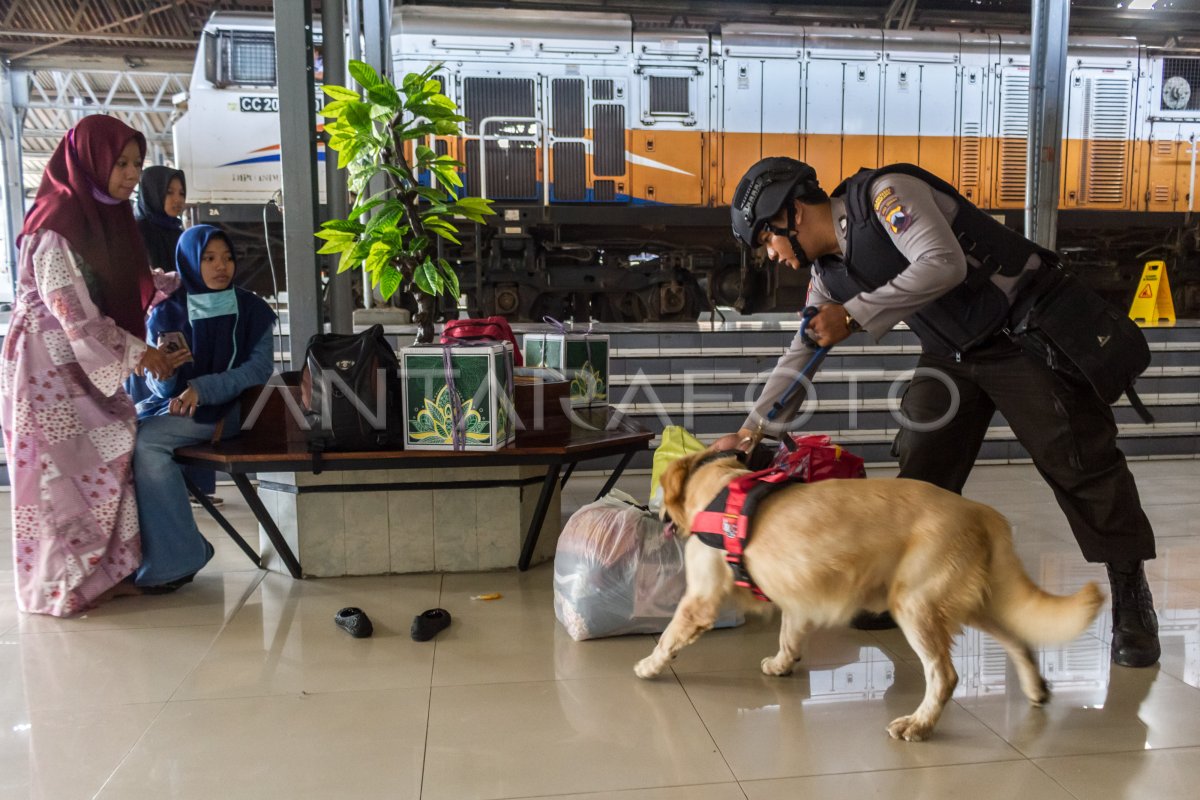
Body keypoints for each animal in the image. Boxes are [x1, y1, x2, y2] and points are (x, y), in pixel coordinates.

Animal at [638, 453, 1104, 743]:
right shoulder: (798, 594)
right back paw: (1035, 688)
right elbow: (790, 634)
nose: (654, 513)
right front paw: (783, 663)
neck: (719, 490)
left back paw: (918, 724)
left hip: (915, 605)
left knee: (945, 675)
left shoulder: (700, 600)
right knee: (1017, 639)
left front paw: (650, 665)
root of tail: (979, 511)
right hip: (968, 600)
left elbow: (670, 635)